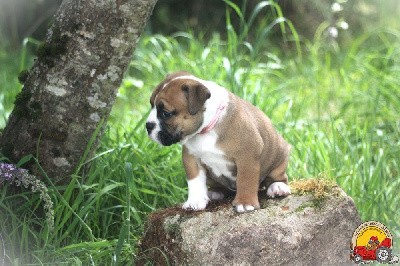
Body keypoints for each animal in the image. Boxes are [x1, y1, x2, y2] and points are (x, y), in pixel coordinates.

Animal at [145, 71, 290, 213]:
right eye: (151, 104)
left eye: (166, 113)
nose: (148, 125)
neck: (207, 128)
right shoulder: (191, 159)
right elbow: (194, 181)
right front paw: (195, 200)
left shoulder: (247, 156)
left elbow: (245, 179)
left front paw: (245, 202)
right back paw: (213, 193)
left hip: (279, 156)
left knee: (278, 177)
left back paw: (277, 187)